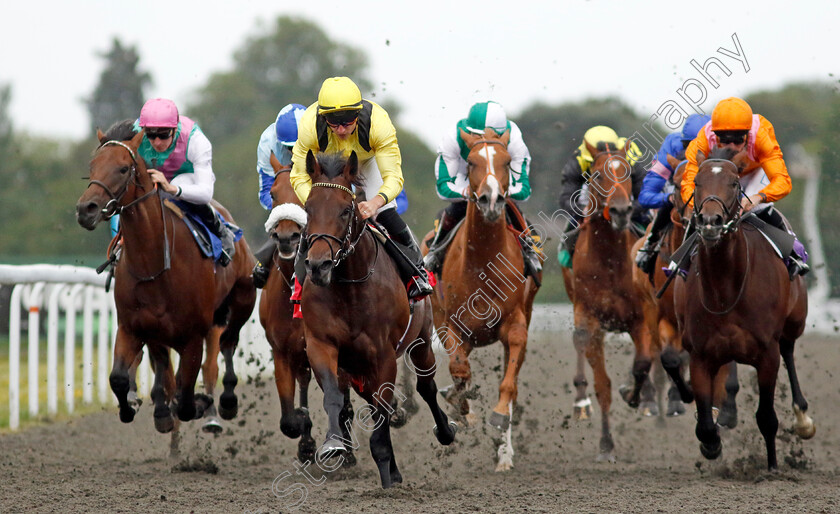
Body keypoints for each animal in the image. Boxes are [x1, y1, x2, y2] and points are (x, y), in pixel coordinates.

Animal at [75, 121, 256, 436]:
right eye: (92, 165)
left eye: (123, 168)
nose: (86, 209)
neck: (155, 264)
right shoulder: (135, 327)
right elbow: (121, 377)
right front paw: (136, 407)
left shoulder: (194, 335)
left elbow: (186, 394)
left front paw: (197, 404)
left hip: (240, 302)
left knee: (227, 345)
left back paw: (225, 401)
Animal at [298, 150, 456, 486]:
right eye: (307, 208)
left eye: (346, 210)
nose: (318, 266)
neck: (349, 286)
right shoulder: (321, 345)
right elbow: (334, 396)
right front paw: (333, 444)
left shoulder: (383, 353)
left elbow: (384, 407)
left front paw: (385, 469)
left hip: (421, 341)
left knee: (426, 387)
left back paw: (445, 431)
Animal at [430, 126, 540, 470]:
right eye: (471, 162)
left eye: (506, 162)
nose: (491, 199)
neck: (484, 263)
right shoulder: (452, 326)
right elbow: (459, 371)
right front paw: (462, 409)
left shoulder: (516, 325)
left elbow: (508, 384)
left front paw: (499, 422)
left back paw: (504, 451)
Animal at [560, 139, 660, 460]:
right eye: (597, 175)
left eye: (627, 173)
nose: (620, 211)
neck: (610, 262)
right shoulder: (590, 319)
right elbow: (602, 384)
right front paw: (606, 443)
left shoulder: (640, 317)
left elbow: (642, 362)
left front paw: (636, 394)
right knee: (578, 342)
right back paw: (581, 403)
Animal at [676, 146, 812, 466]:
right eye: (697, 182)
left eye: (734, 183)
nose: (711, 222)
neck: (725, 290)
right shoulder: (700, 355)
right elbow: (704, 424)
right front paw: (712, 443)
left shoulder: (767, 354)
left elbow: (767, 418)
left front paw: (772, 467)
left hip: (794, 321)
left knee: (789, 350)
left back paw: (803, 418)